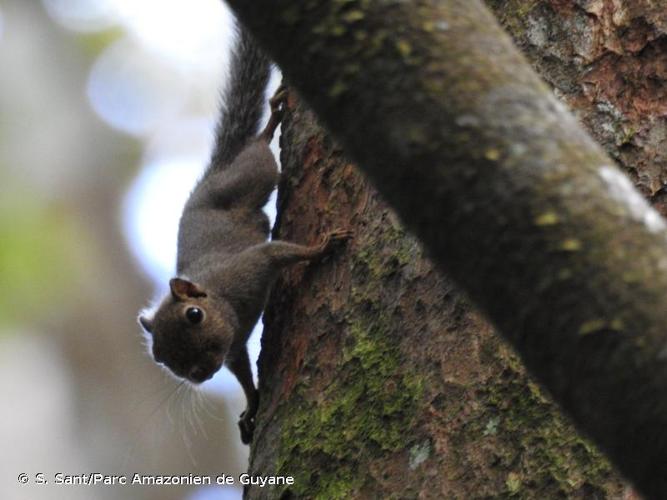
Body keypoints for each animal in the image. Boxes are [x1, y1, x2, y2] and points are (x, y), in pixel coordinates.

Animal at [139, 22, 352, 446]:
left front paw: (322, 247)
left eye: (194, 315)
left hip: (251, 175)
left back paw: (271, 120)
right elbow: (244, 377)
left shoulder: (252, 265)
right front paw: (251, 409)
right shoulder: (234, 350)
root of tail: (214, 172)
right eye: (161, 358)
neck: (223, 300)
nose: (199, 373)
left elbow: (282, 252)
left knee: (259, 148)